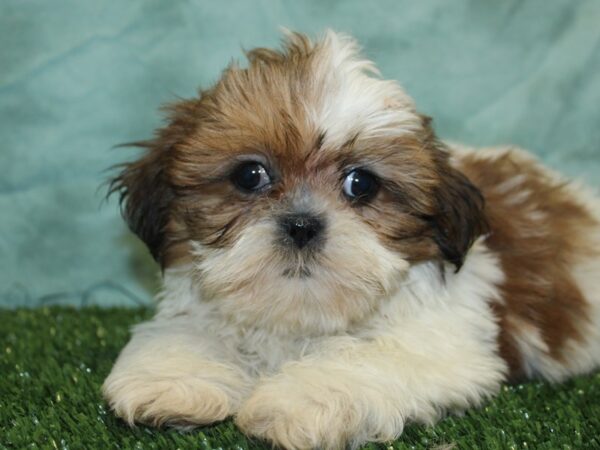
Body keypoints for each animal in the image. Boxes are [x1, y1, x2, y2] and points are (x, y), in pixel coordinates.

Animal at [103, 29, 600, 448]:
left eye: (362, 184)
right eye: (249, 175)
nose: (302, 225)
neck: (301, 316)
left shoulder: (441, 340)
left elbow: (363, 361)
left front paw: (296, 401)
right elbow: (185, 332)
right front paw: (172, 381)